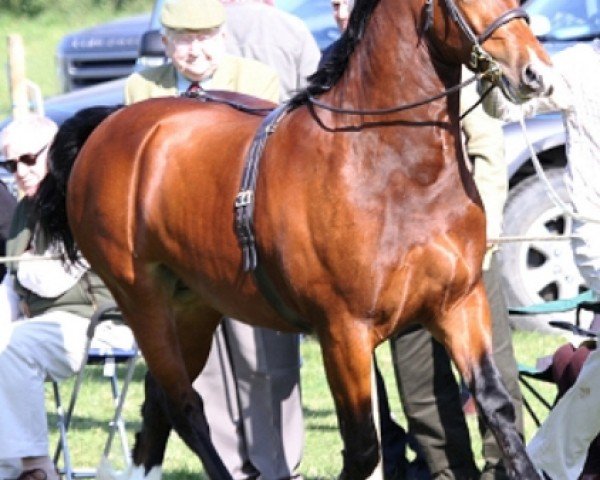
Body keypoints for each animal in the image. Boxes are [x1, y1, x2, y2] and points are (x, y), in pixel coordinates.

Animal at [37, 0, 552, 478]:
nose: (536, 73)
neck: (393, 167)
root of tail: (111, 126)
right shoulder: (345, 332)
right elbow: (363, 446)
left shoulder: (458, 304)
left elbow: (497, 407)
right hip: (142, 301)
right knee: (185, 406)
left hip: (193, 307)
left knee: (159, 401)